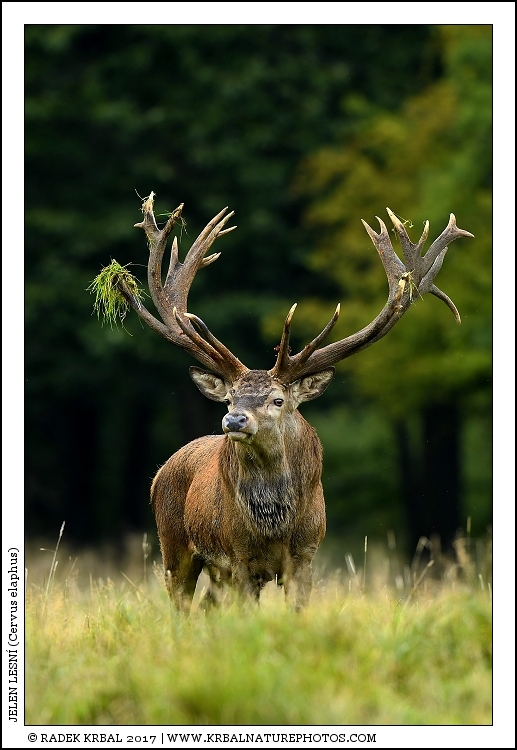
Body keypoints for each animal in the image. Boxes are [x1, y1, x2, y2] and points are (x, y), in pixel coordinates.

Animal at [107, 193, 473, 611]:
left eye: (278, 399)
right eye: (229, 398)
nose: (235, 421)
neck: (275, 528)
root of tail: (158, 474)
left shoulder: (306, 554)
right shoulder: (238, 557)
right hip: (174, 545)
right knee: (182, 604)